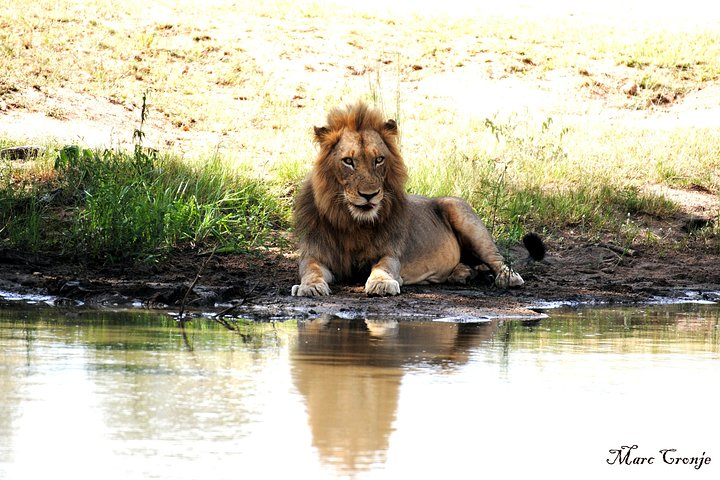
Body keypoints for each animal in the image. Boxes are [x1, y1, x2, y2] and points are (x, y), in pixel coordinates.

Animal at [292, 101, 540, 296]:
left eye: (379, 160)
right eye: (348, 161)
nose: (369, 195)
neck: (353, 223)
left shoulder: (391, 253)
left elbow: (383, 266)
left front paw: (382, 284)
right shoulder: (315, 254)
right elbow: (310, 270)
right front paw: (310, 287)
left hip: (462, 215)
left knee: (497, 258)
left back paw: (507, 277)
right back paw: (461, 273)